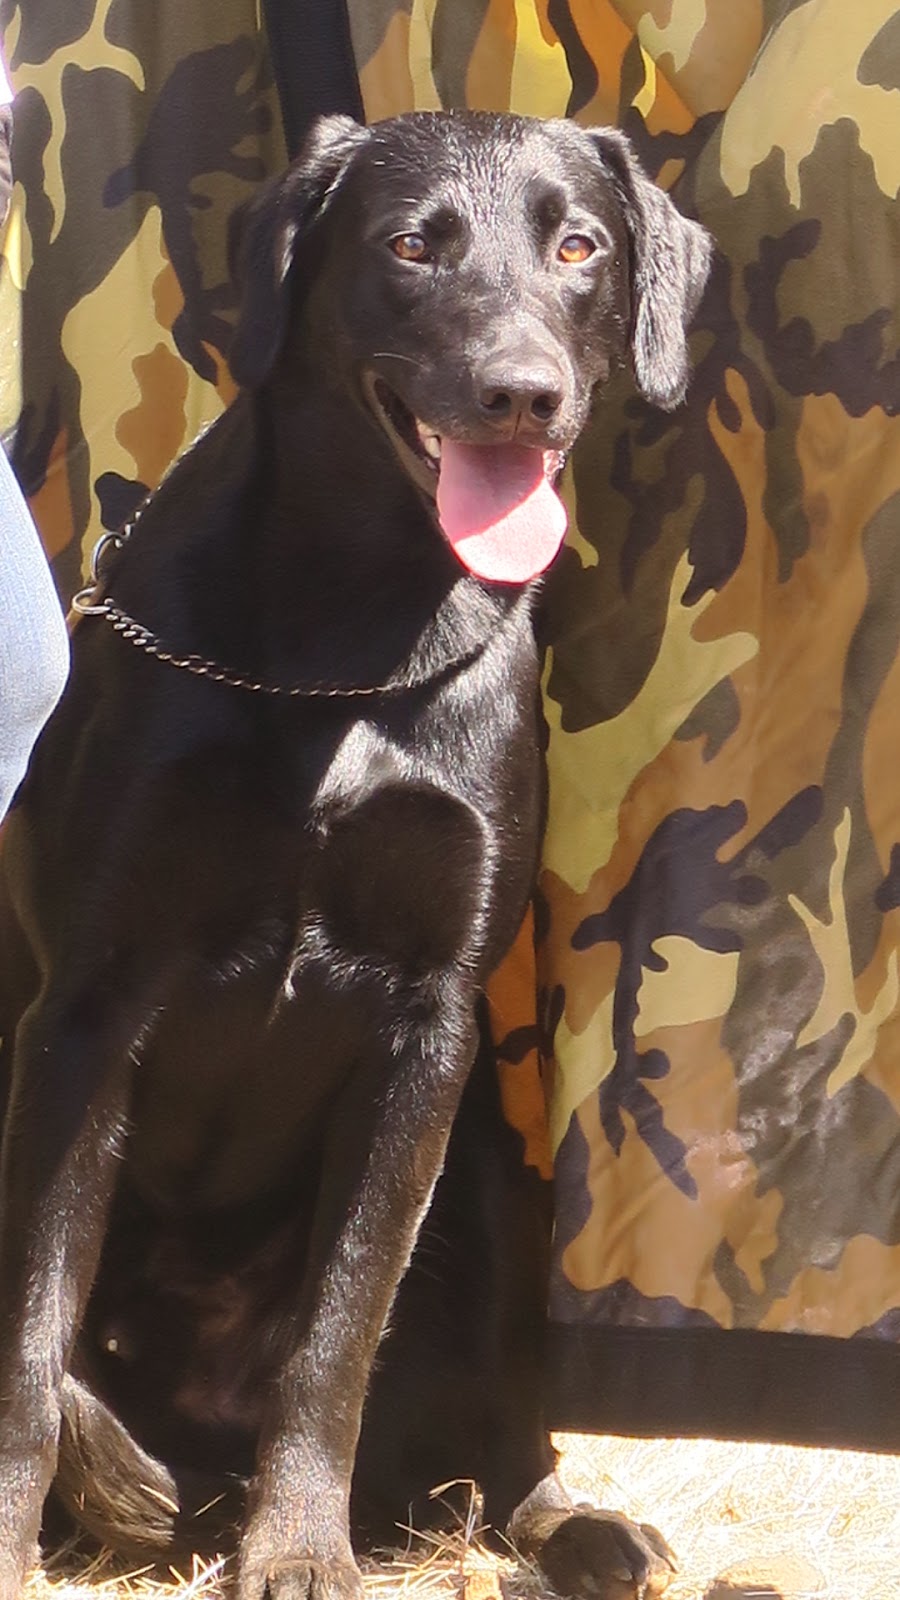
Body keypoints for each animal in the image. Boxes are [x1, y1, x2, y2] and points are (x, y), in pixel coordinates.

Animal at [0, 111, 710, 1600]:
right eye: (409, 245)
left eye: (581, 247)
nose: (522, 394)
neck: (353, 642)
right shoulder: (87, 1006)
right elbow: (31, 1330)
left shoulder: (426, 1027)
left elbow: (336, 1335)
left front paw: (299, 1550)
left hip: (492, 1180)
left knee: (484, 1447)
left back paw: (579, 1531)